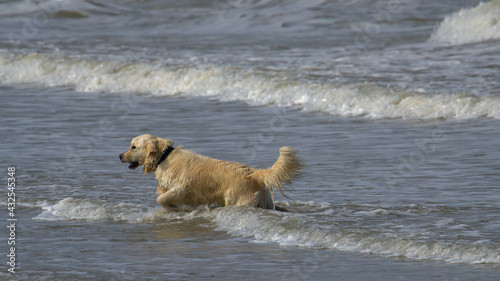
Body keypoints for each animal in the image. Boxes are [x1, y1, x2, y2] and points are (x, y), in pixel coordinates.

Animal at [119, 133, 302, 210]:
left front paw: (175, 208)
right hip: (265, 201)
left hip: (237, 201)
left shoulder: (182, 188)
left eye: (133, 147)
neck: (165, 157)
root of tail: (255, 173)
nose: (120, 155)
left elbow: (162, 199)